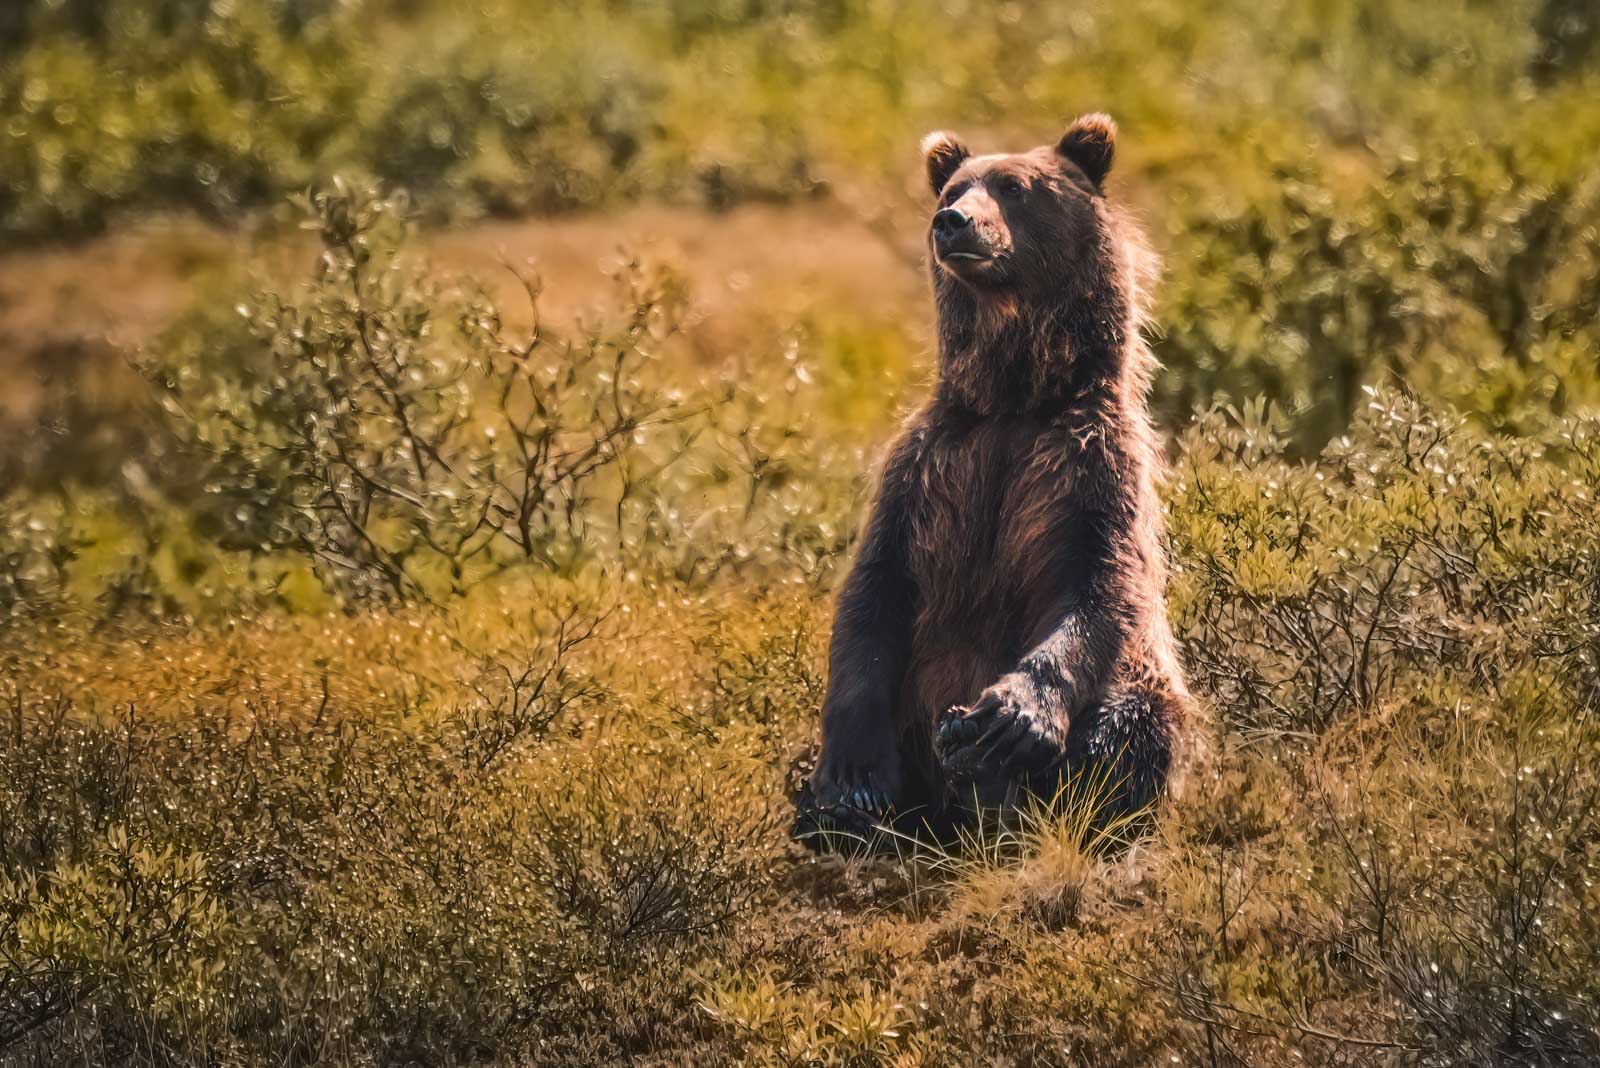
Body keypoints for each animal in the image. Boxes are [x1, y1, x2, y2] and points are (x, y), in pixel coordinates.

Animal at [793, 115, 1196, 850]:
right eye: (954, 187)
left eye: (1014, 187)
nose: (952, 222)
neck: (1015, 396)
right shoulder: (928, 469)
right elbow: (874, 591)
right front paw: (853, 780)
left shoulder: (1088, 466)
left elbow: (1102, 583)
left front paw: (1008, 720)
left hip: (1140, 681)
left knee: (1135, 719)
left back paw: (992, 765)